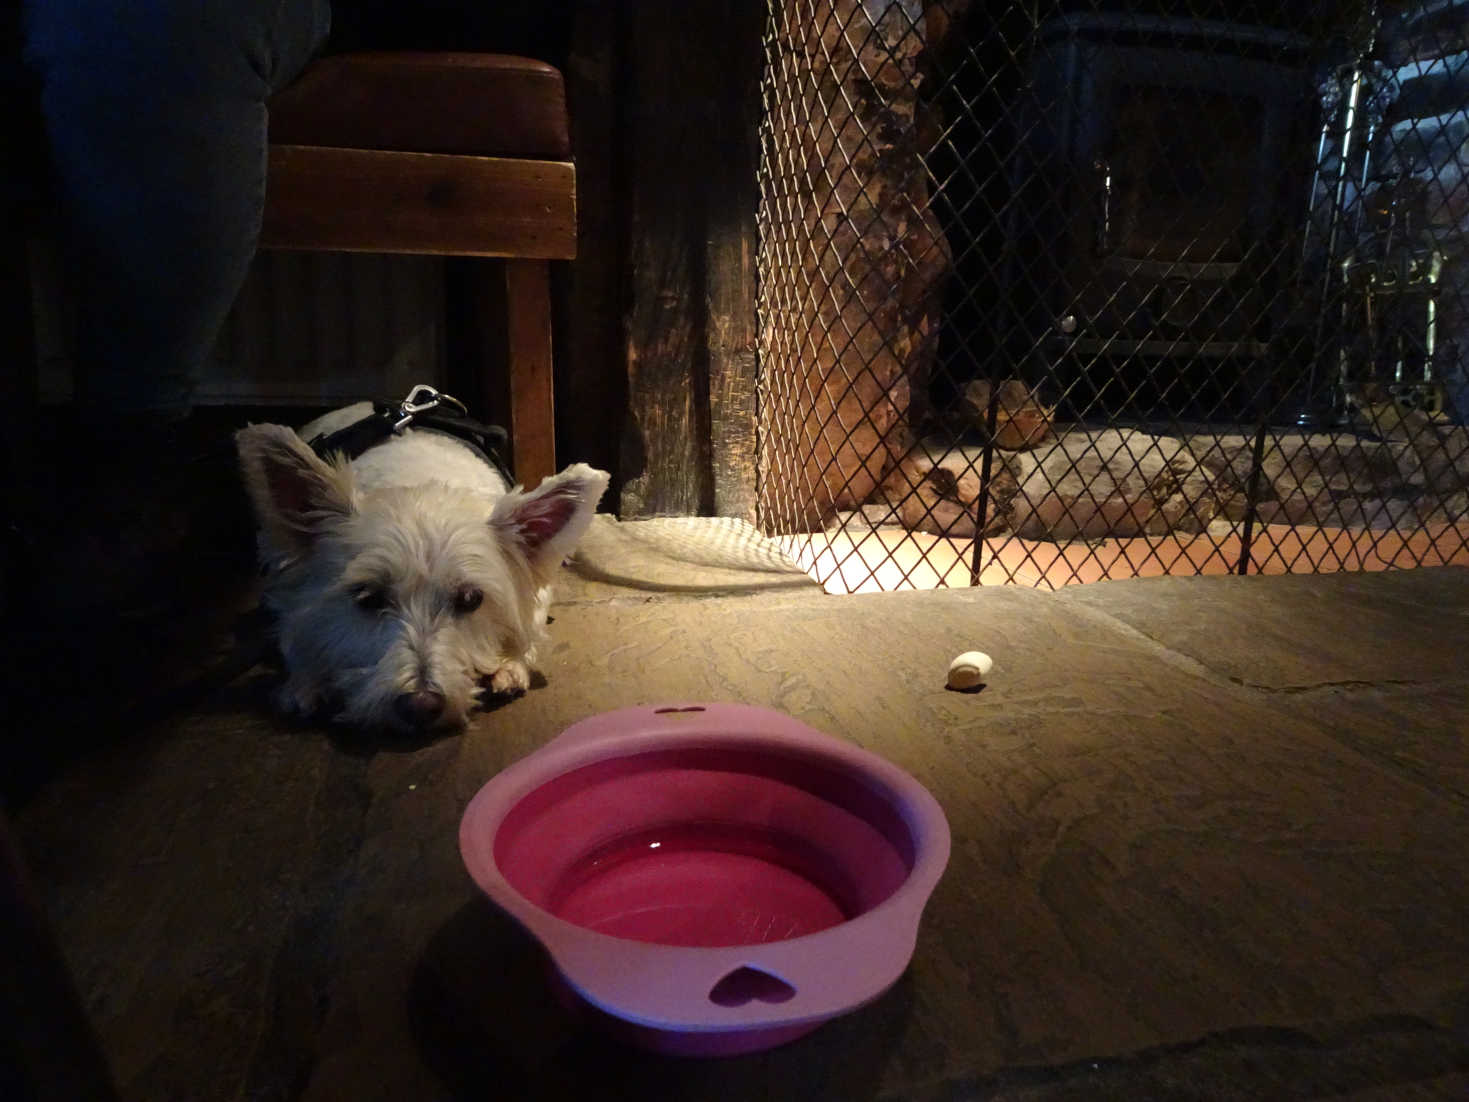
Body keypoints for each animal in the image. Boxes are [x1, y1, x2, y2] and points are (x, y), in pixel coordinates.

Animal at [235, 399, 608, 734]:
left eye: (471, 599)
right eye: (368, 598)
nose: (420, 706)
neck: (418, 477)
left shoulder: (537, 588)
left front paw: (509, 665)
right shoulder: (292, 593)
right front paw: (306, 683)